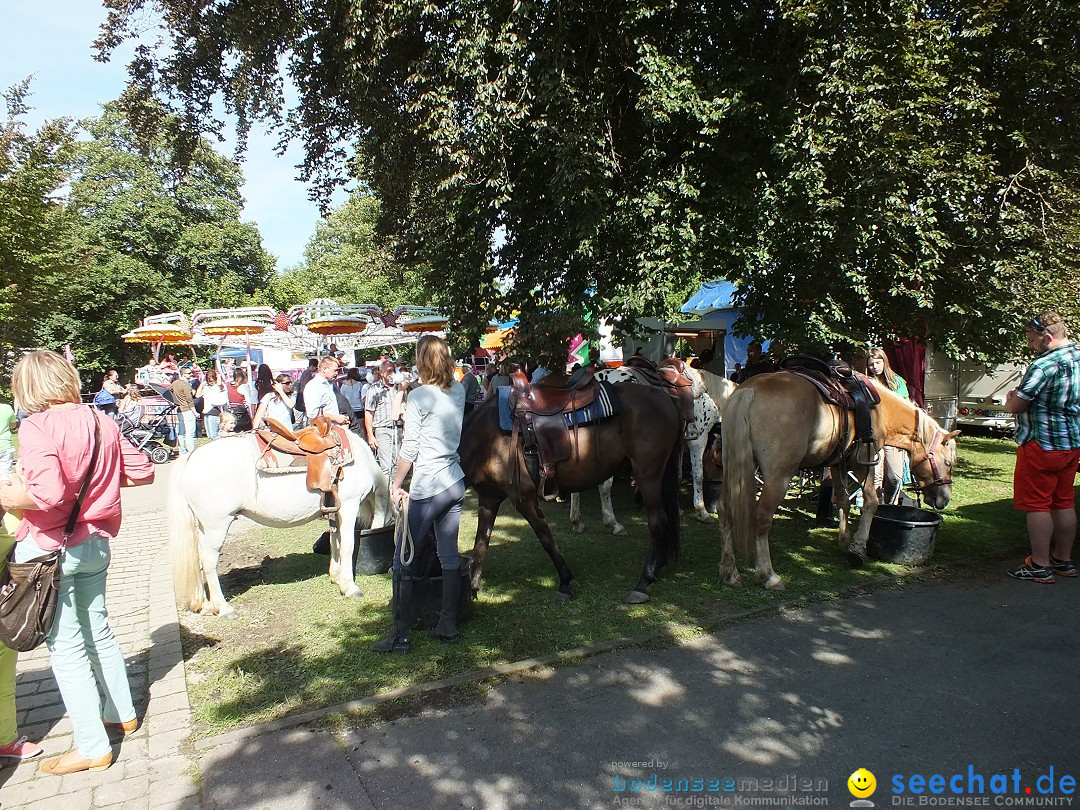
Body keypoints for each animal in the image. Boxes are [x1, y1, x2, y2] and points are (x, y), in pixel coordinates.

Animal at [166, 432, 390, 613]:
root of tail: (191, 457)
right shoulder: (349, 506)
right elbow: (347, 546)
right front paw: (349, 586)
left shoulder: (334, 510)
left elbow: (335, 542)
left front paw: (335, 576)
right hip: (217, 526)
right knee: (209, 561)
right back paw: (223, 607)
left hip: (204, 527)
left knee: (199, 558)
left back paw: (204, 603)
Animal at [457, 384, 678, 604]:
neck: (488, 438)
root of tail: (666, 398)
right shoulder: (489, 498)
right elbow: (481, 542)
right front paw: (473, 588)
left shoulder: (523, 498)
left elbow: (545, 538)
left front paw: (565, 582)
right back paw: (657, 567)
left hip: (648, 476)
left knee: (657, 521)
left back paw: (643, 582)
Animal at [565, 360, 734, 533]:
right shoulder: (698, 438)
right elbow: (698, 475)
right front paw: (702, 511)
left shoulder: (678, 442)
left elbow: (677, 475)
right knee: (604, 485)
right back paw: (613, 523)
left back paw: (577, 521)